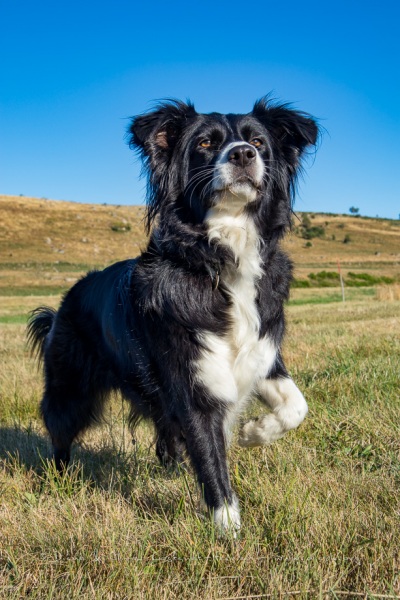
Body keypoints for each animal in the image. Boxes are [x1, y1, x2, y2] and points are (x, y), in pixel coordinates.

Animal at [28, 98, 318, 536]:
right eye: (204, 143)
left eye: (258, 142)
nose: (242, 155)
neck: (219, 258)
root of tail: (64, 302)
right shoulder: (192, 381)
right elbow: (213, 467)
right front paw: (229, 535)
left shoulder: (261, 352)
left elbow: (296, 407)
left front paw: (253, 432)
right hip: (71, 386)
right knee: (60, 431)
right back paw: (59, 482)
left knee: (165, 434)